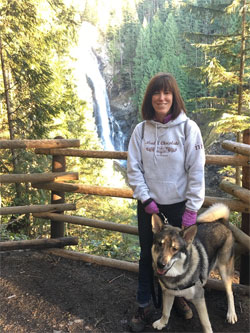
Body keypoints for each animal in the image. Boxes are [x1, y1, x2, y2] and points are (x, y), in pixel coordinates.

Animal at [151, 202, 237, 332]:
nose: (160, 264)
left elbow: (205, 322)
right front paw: (162, 323)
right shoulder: (168, 293)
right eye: (160, 244)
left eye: (175, 249)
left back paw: (231, 313)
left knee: (230, 292)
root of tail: (222, 222)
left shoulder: (199, 298)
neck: (178, 274)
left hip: (224, 270)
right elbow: (166, 312)